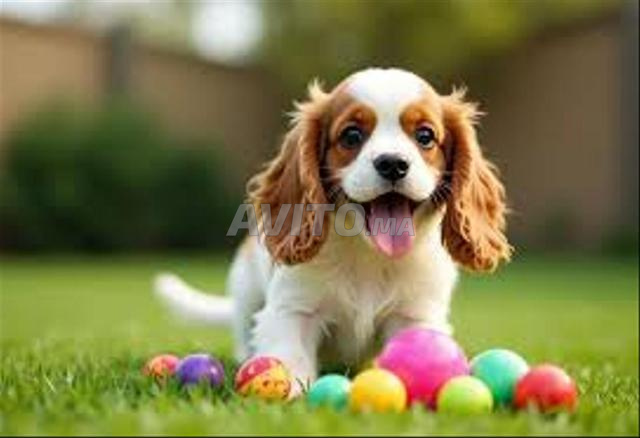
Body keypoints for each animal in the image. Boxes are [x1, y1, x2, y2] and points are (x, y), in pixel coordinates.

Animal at [154, 67, 512, 396]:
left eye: (424, 136)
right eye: (351, 136)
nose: (393, 163)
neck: (368, 254)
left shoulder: (416, 315)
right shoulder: (293, 310)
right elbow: (291, 358)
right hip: (245, 290)